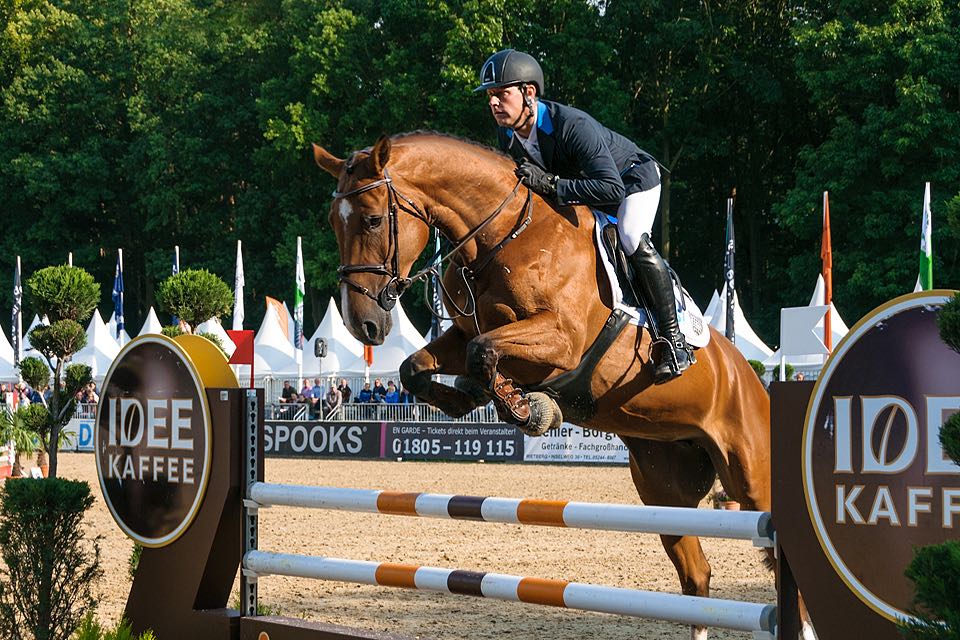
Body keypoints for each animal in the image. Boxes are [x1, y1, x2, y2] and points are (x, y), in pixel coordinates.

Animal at [316, 132, 780, 636]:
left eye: (373, 219)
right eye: (333, 223)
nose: (363, 325)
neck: (502, 237)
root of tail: (748, 376)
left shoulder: (561, 339)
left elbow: (483, 351)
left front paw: (531, 409)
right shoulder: (463, 332)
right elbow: (419, 366)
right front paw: (470, 398)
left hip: (750, 473)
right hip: (663, 485)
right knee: (696, 574)